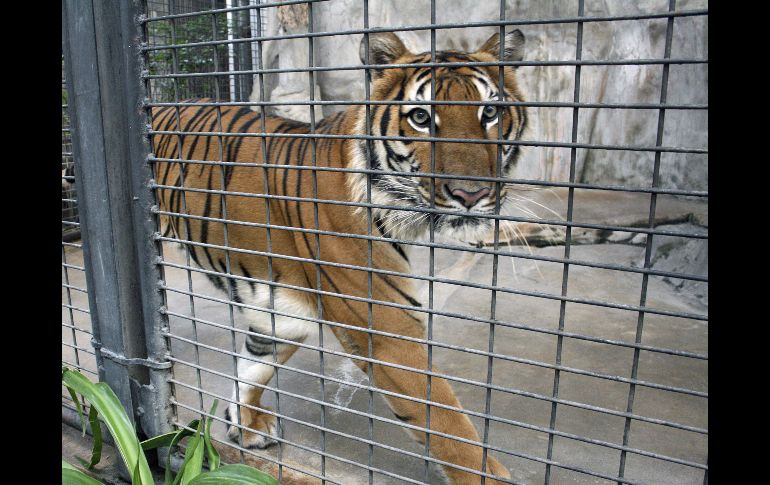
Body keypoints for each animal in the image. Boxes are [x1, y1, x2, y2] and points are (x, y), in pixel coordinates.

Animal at [152, 30, 528, 484]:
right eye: (421, 117)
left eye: (490, 112)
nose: (470, 195)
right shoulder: (385, 328)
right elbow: (450, 428)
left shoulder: (282, 312)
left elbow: (255, 365)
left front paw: (245, 424)